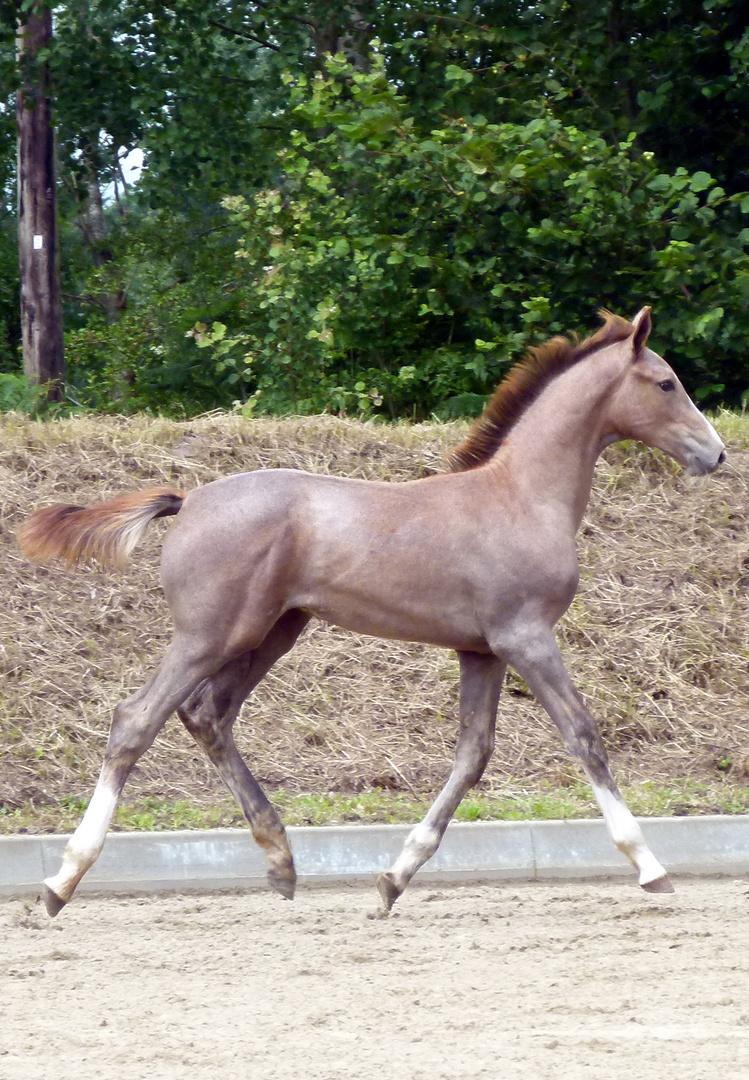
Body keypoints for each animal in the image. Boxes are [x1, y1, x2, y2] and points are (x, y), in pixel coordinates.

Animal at [21, 306, 729, 920]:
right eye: (665, 382)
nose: (716, 453)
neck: (520, 496)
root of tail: (188, 499)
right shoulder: (526, 638)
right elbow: (583, 735)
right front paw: (650, 866)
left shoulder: (482, 649)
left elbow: (473, 754)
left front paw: (393, 879)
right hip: (210, 635)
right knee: (136, 720)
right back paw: (62, 881)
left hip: (271, 633)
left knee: (207, 715)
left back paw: (281, 862)